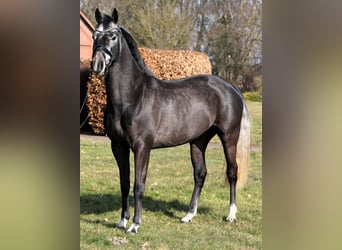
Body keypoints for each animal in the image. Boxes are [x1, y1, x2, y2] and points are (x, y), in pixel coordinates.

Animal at [91, 8, 251, 234]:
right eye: (94, 35)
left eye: (113, 36)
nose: (97, 64)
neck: (133, 96)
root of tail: (231, 86)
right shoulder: (118, 147)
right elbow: (124, 183)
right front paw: (122, 221)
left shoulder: (142, 147)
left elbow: (138, 185)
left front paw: (135, 225)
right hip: (198, 141)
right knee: (200, 174)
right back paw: (189, 215)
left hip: (229, 136)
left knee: (232, 172)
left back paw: (231, 215)